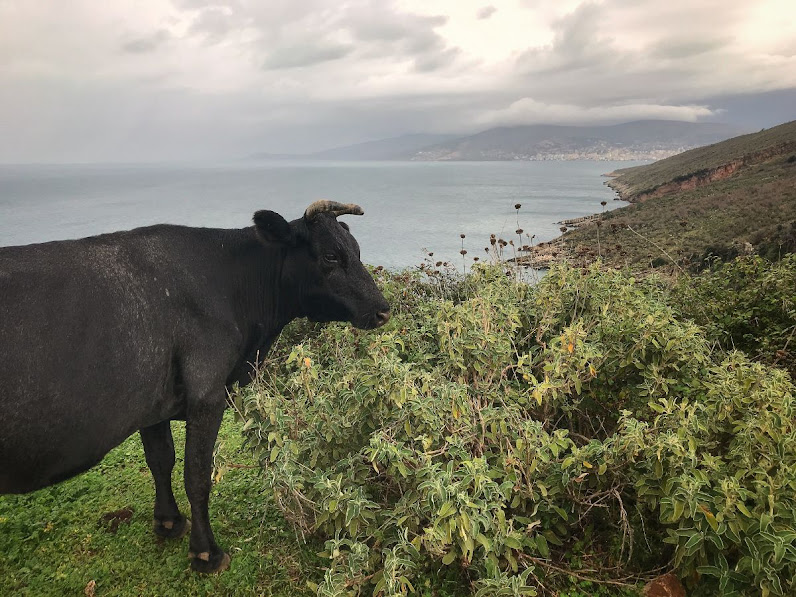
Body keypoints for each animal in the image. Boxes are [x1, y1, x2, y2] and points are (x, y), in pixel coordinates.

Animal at [0, 200, 388, 572]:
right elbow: (197, 475)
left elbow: (160, 460)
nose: (383, 309)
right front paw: (206, 553)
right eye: (330, 256)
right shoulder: (208, 393)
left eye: (356, 249)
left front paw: (168, 522)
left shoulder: (152, 404)